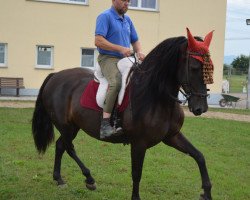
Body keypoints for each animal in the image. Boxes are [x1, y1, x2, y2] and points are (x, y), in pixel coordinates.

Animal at [31, 28, 213, 200]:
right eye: (194, 68)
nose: (201, 108)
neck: (156, 95)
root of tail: (55, 75)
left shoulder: (172, 136)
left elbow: (199, 156)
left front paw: (206, 192)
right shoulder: (139, 143)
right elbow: (136, 173)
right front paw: (135, 197)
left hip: (73, 127)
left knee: (61, 145)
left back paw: (59, 178)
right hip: (67, 127)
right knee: (68, 147)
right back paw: (89, 179)